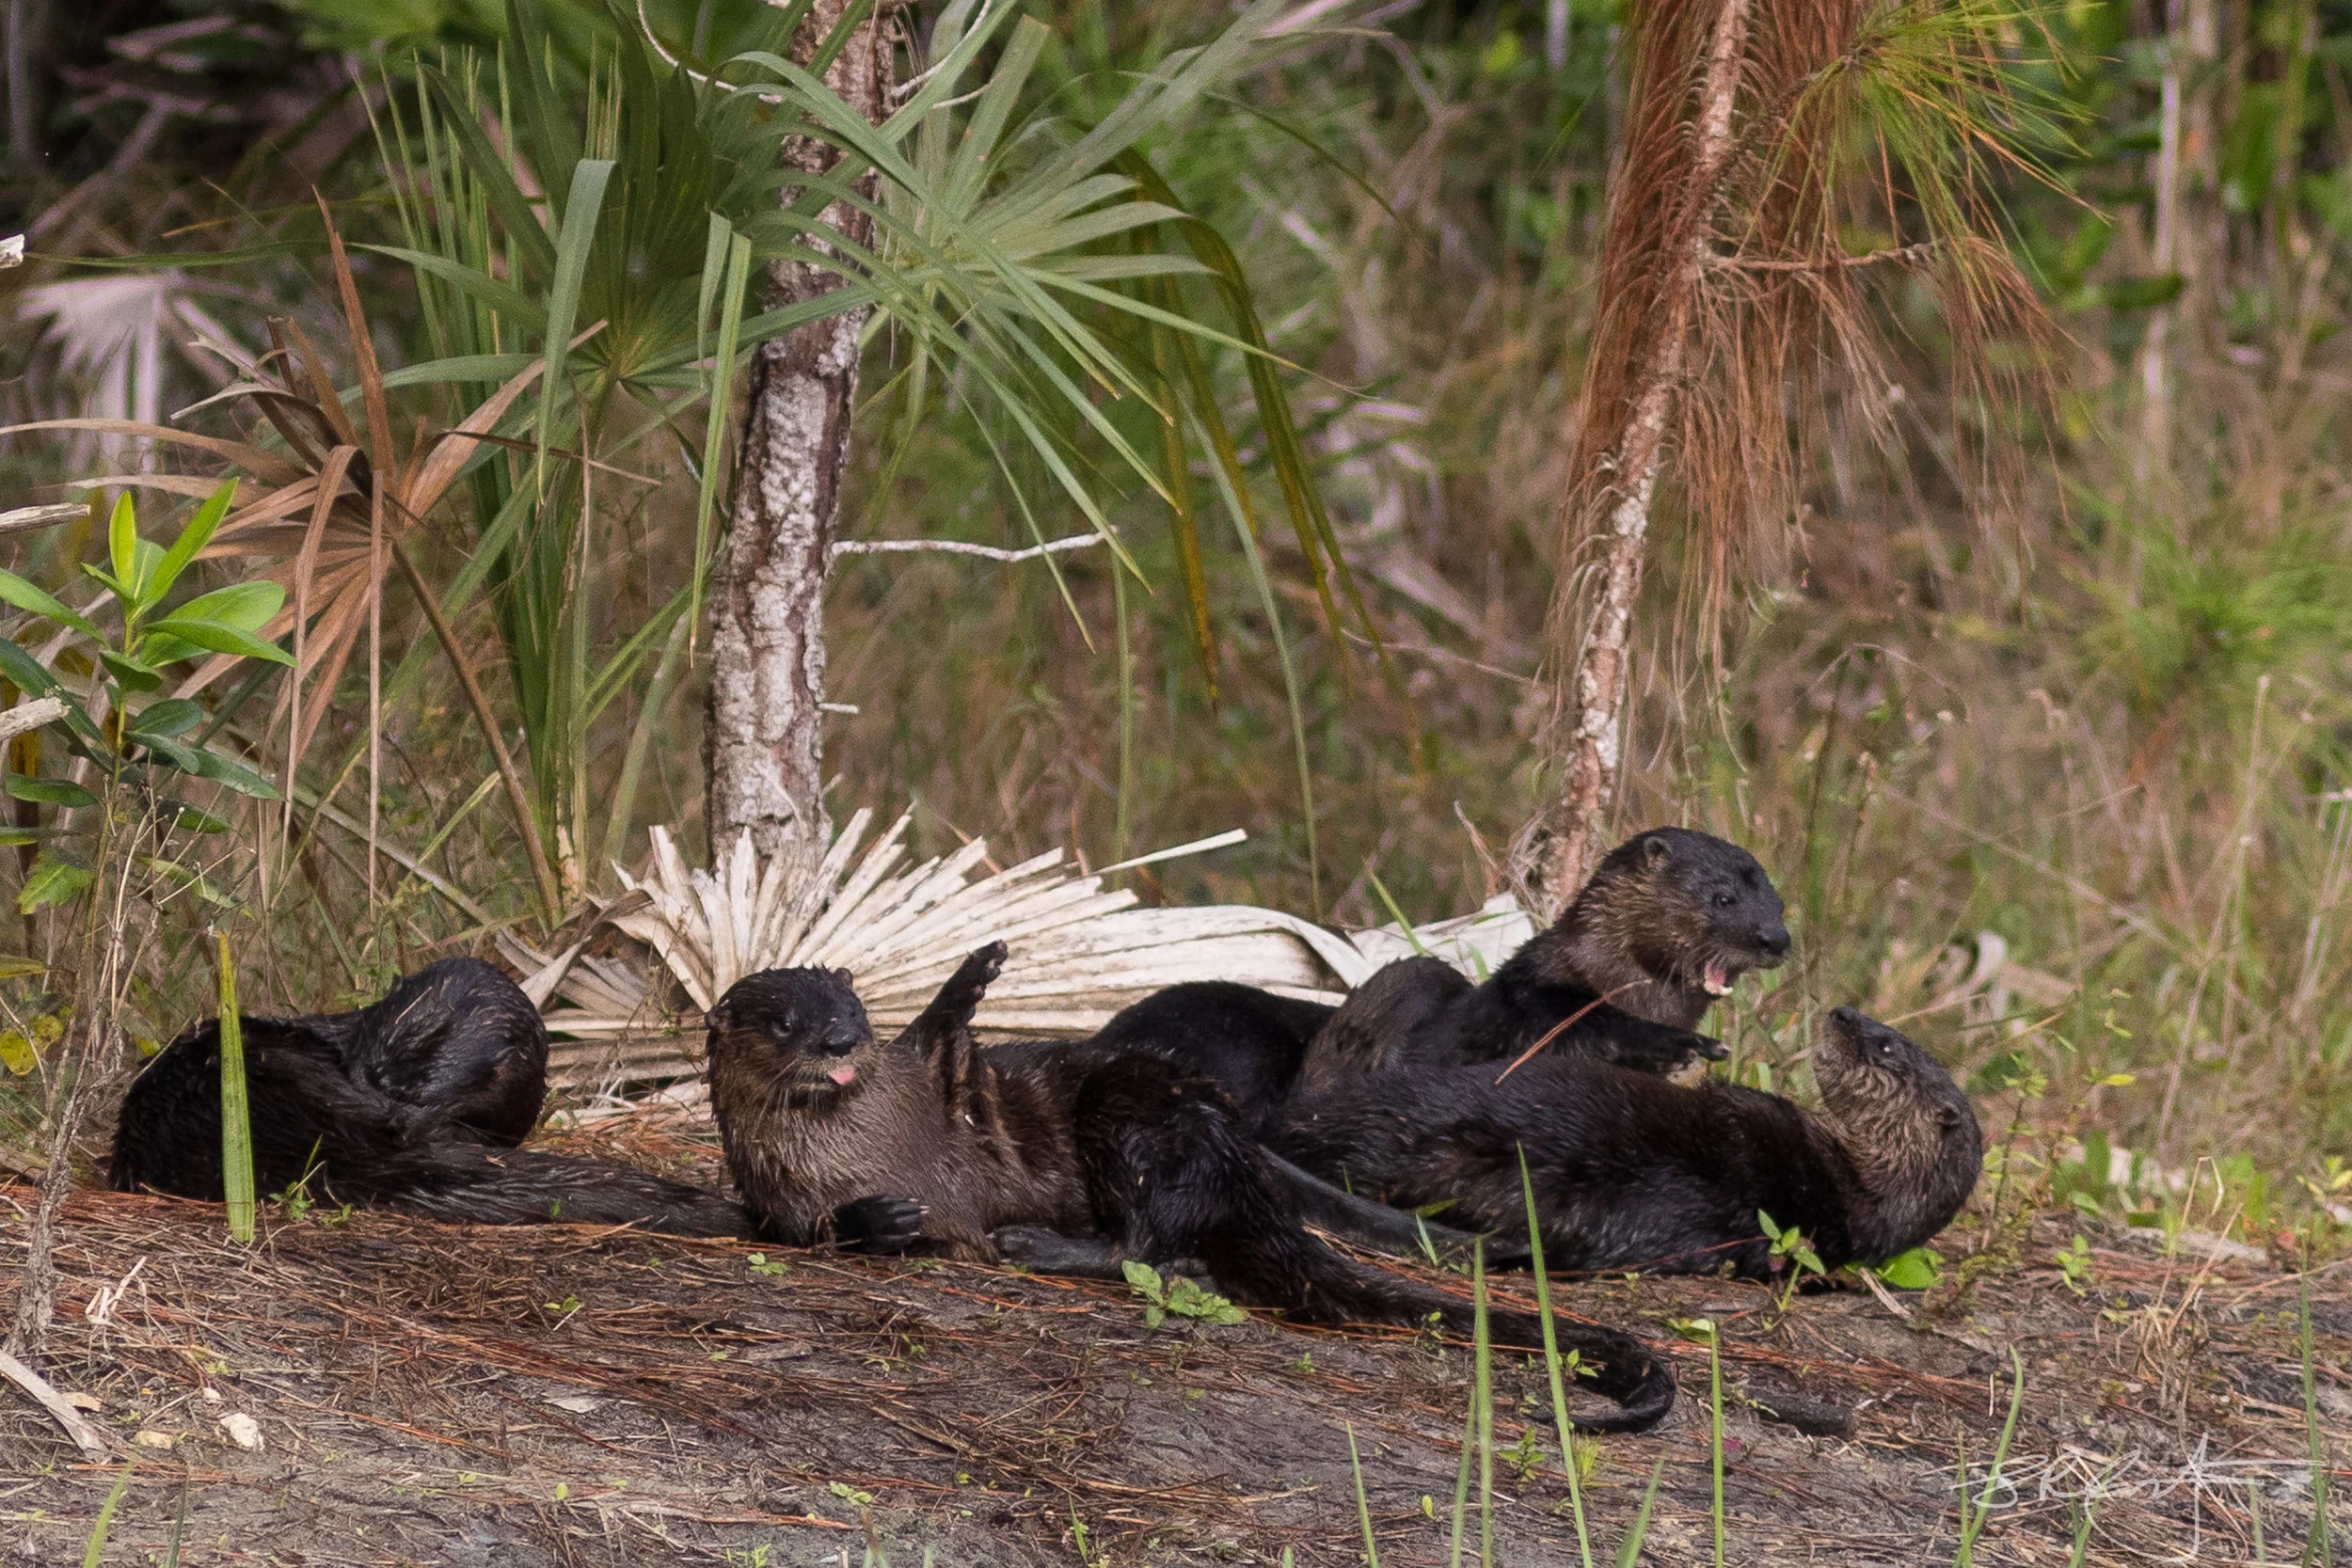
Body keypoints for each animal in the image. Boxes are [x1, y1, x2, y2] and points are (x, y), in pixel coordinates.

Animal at [705, 944, 1676, 1433]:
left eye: (854, 1012)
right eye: (785, 1020)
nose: (838, 1040)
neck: (874, 1145)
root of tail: (1236, 1159)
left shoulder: (940, 1090)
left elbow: (947, 1038)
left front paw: (977, 971)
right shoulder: (781, 1199)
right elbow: (811, 1230)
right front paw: (883, 1218)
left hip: (1130, 1112)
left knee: (1150, 1238)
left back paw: (1033, 1241)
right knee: (1166, 1255)